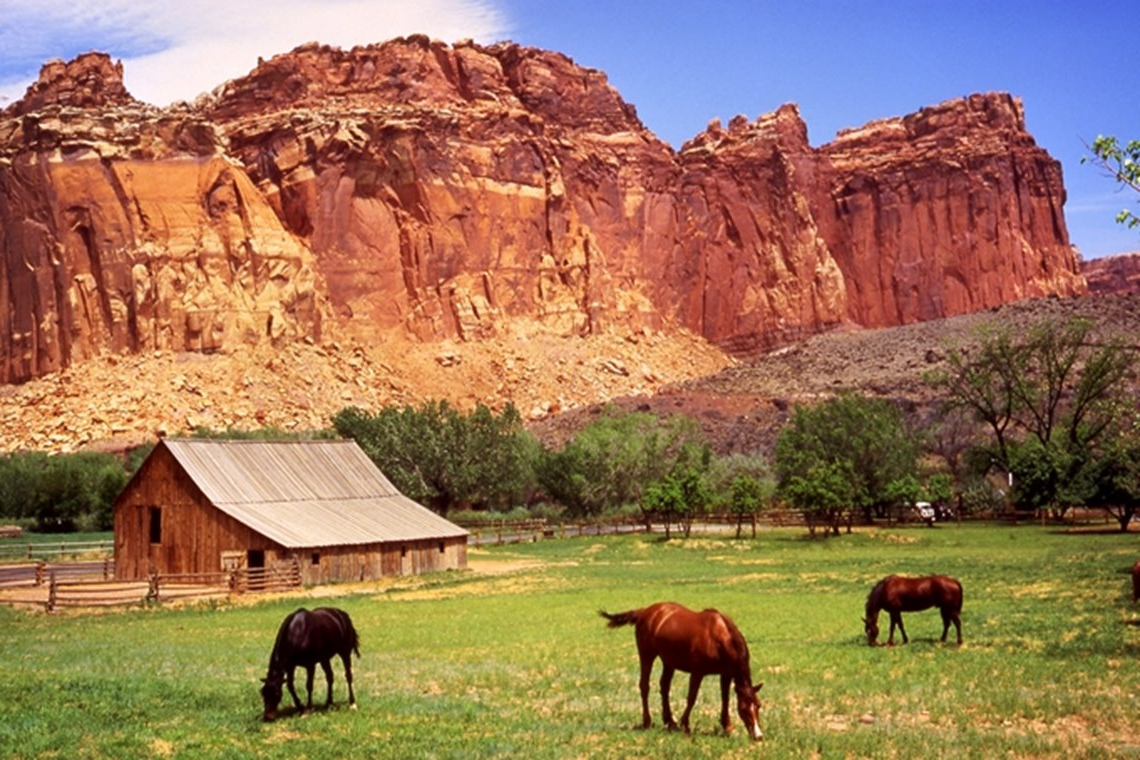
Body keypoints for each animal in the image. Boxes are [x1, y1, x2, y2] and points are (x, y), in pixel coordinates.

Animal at [597, 601, 766, 738]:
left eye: (758, 705)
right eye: (744, 708)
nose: (758, 736)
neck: (718, 638)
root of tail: (645, 611)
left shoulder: (726, 674)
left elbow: (725, 699)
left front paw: (727, 726)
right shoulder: (697, 673)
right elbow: (692, 698)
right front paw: (685, 724)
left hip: (668, 662)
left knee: (664, 687)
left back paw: (670, 722)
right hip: (647, 655)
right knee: (644, 686)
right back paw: (648, 722)